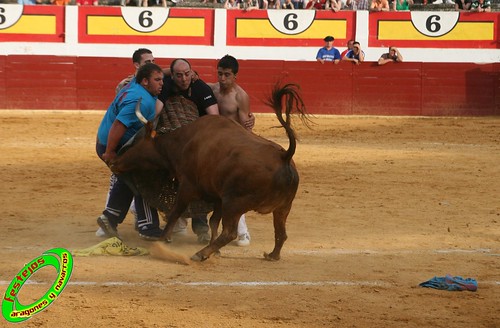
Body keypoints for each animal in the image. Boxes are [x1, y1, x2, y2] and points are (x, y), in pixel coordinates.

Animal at [111, 84, 308, 262]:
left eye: (136, 143)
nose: (115, 163)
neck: (183, 142)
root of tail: (284, 155)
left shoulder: (188, 186)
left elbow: (176, 212)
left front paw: (161, 240)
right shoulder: (218, 198)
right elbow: (213, 221)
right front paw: (216, 250)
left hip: (235, 203)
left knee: (230, 233)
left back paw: (201, 254)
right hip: (283, 207)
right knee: (281, 233)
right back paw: (272, 255)